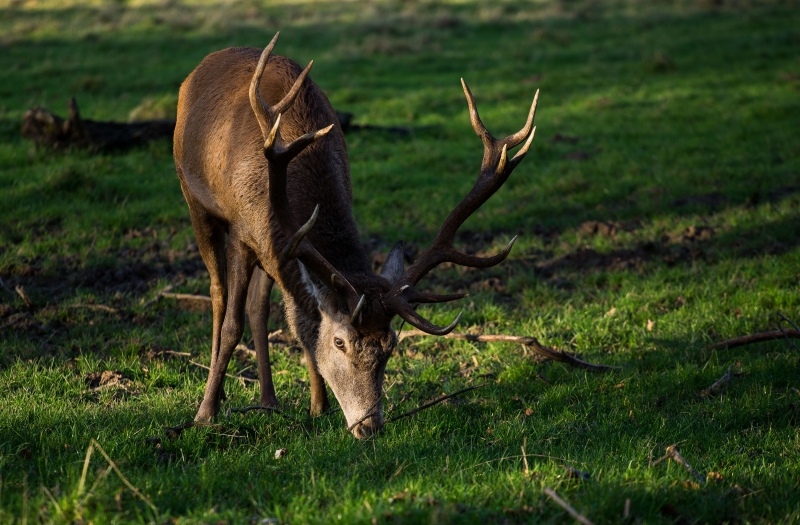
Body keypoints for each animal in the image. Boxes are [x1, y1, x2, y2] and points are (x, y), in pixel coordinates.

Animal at [173, 30, 536, 436]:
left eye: (391, 344)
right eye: (340, 342)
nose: (369, 425)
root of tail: (205, 63)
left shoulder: (283, 246)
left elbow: (301, 325)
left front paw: (318, 408)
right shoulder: (241, 232)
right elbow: (233, 325)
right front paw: (205, 415)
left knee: (258, 306)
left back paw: (268, 401)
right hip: (193, 198)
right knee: (218, 296)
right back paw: (215, 396)